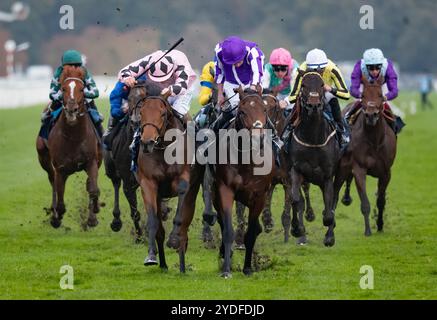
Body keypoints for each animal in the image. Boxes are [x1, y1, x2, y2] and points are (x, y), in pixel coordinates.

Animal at [35, 65, 102, 229]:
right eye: (63, 88)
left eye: (82, 88)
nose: (72, 109)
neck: (74, 137)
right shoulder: (61, 168)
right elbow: (59, 195)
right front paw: (56, 217)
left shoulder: (91, 161)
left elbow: (93, 189)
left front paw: (92, 217)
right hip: (44, 158)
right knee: (52, 180)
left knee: (90, 184)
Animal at [135, 90, 192, 270]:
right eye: (141, 112)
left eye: (162, 113)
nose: (147, 142)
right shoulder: (148, 184)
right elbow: (154, 222)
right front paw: (151, 256)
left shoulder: (183, 179)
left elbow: (180, 216)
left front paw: (174, 239)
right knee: (159, 229)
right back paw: (163, 265)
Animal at [332, 75, 396, 235]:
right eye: (363, 95)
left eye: (380, 95)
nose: (371, 115)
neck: (374, 140)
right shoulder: (359, 168)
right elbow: (365, 203)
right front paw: (368, 230)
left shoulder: (386, 172)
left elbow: (381, 200)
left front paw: (380, 225)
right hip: (342, 167)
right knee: (335, 191)